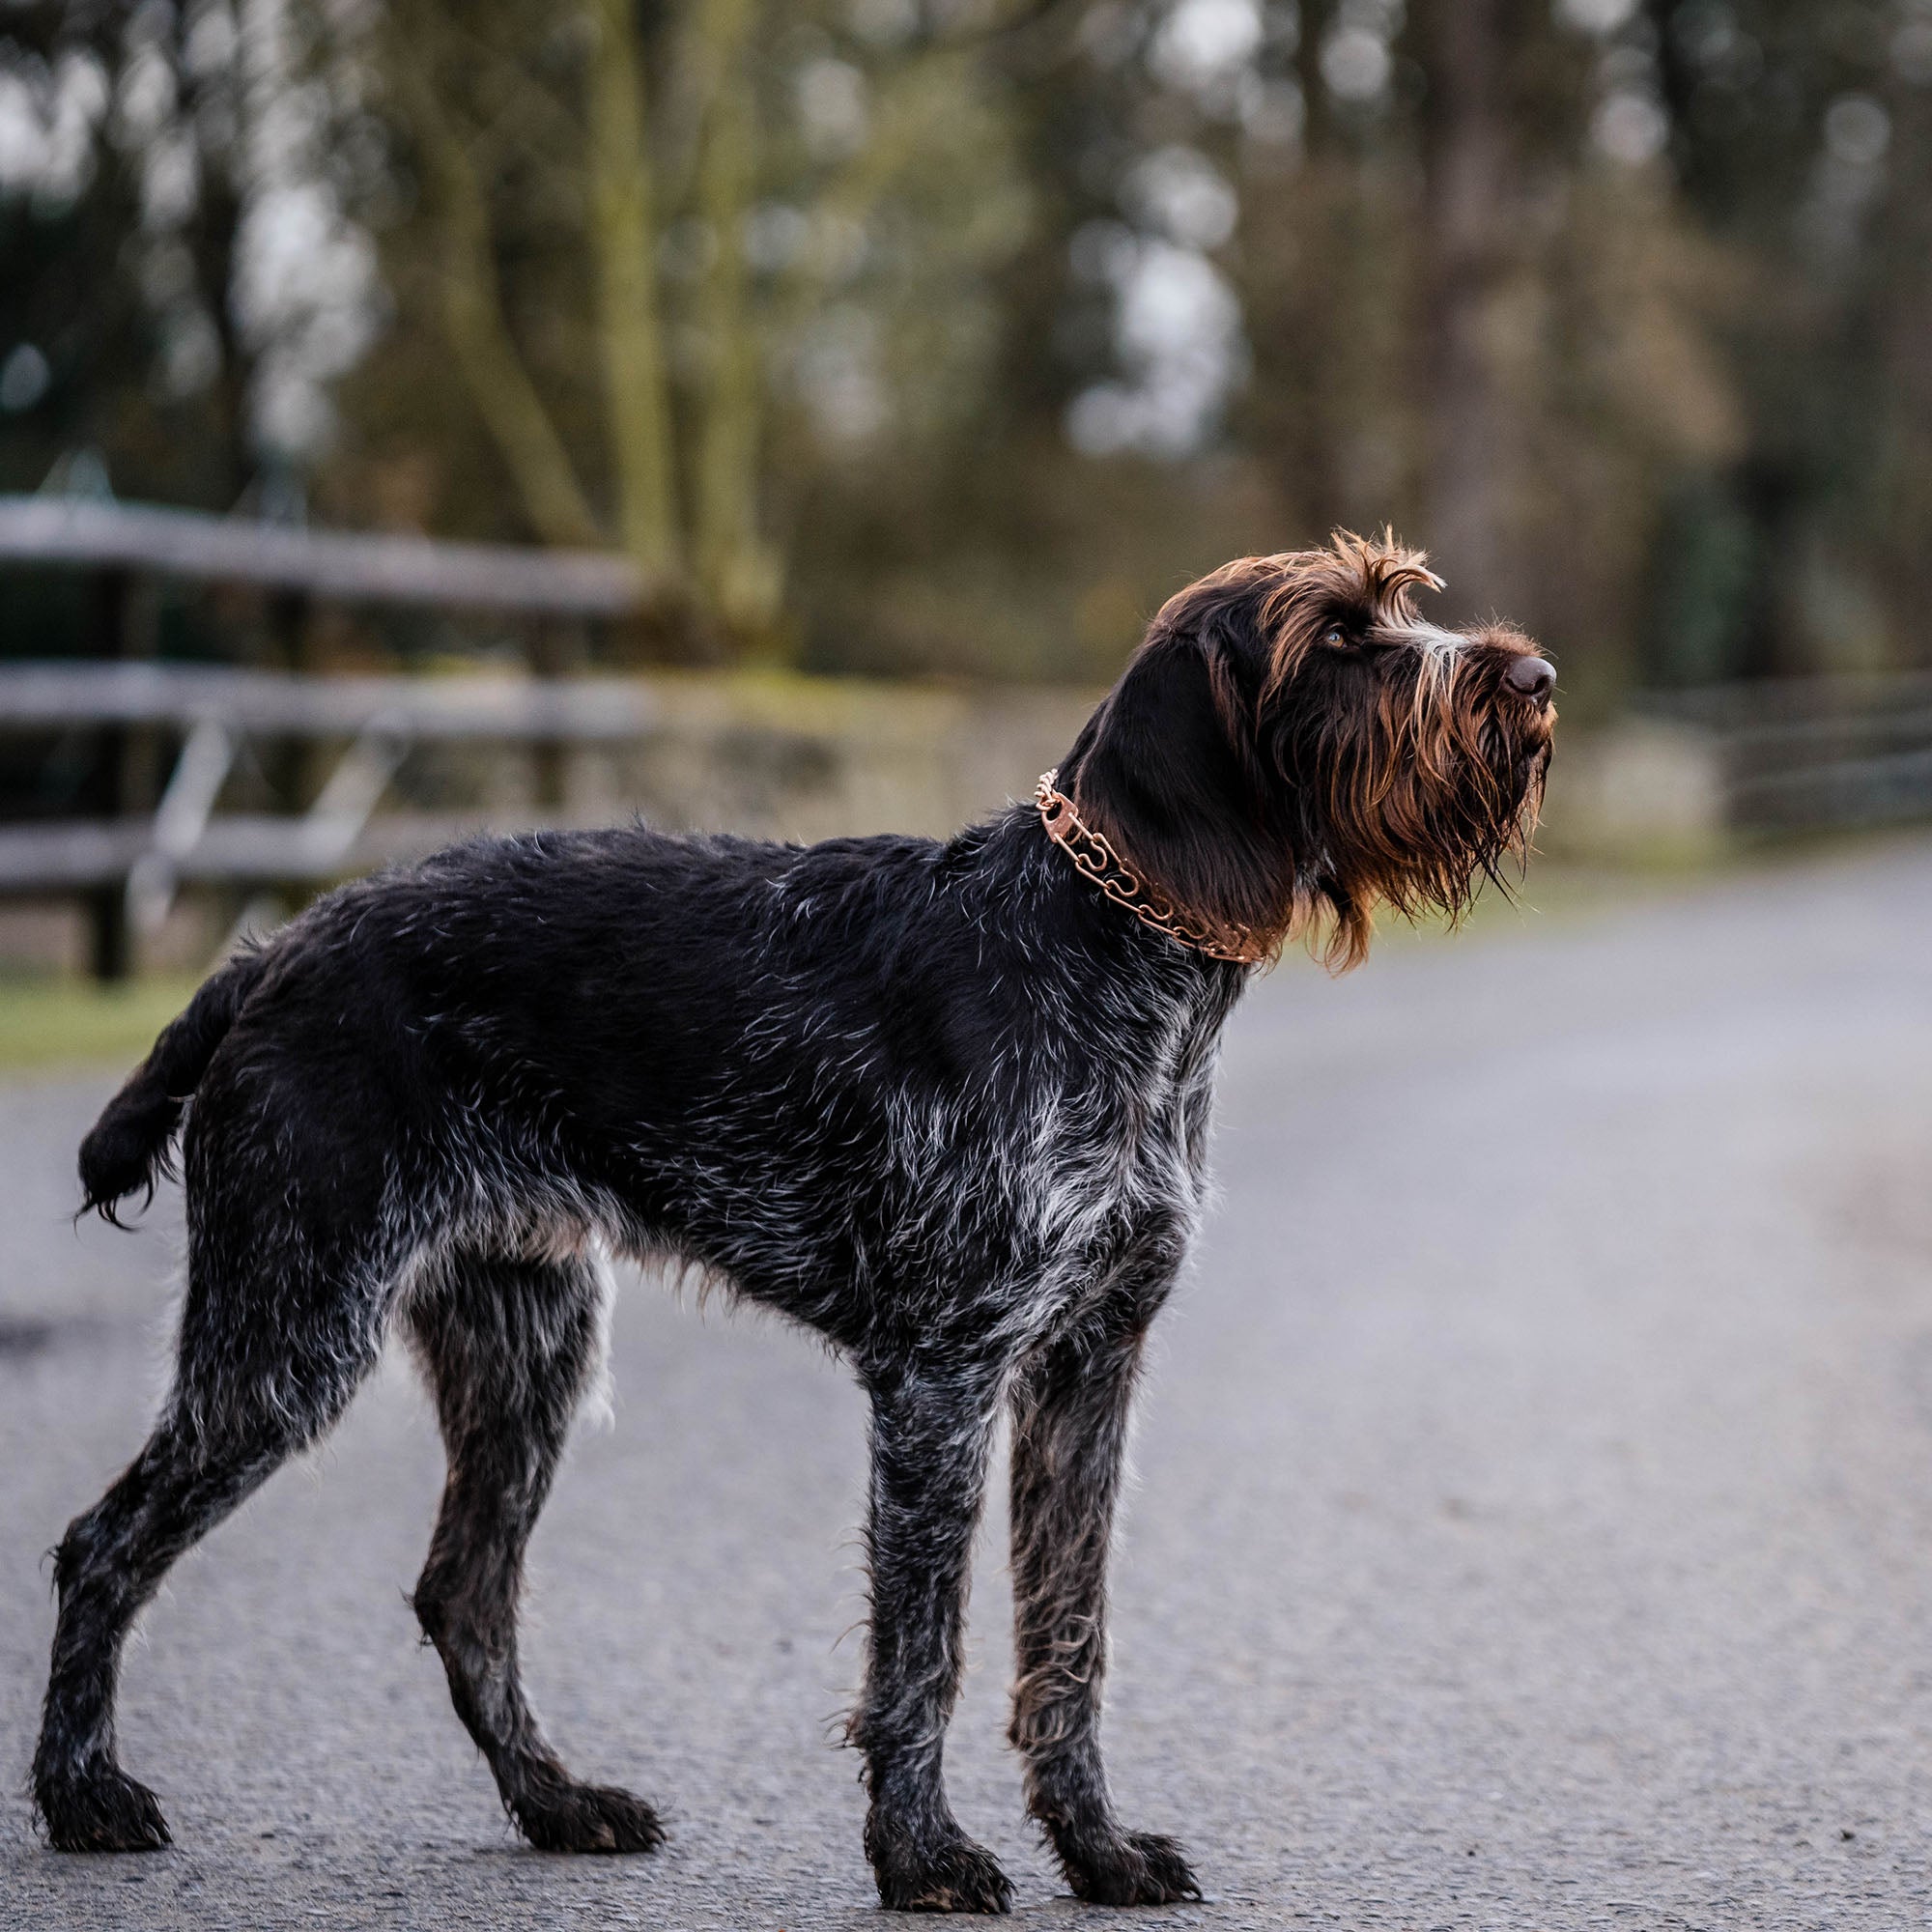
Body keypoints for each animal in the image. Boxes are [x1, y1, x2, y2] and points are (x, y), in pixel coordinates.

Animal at [34, 533, 1553, 1917]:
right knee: (101, 1545)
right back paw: (80, 1795)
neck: (1112, 960)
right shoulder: (944, 1371)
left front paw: (1097, 1850)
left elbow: (1070, 1632)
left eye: (1401, 602)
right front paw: (923, 1857)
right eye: (1339, 634)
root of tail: (277, 949)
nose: (1533, 679)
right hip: (290, 1333)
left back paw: (558, 1804)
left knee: (462, 1595)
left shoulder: (1090, 1364)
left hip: (526, 1347)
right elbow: (924, 1649)